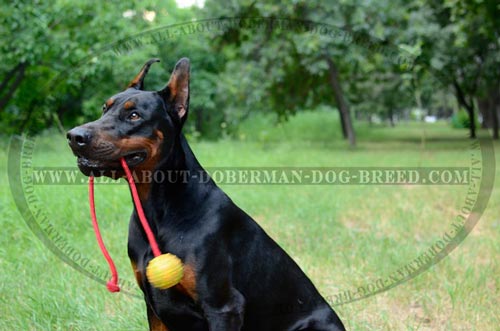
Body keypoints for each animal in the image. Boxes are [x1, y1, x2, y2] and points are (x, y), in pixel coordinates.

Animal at [67, 58, 344, 330]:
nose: (74, 136)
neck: (158, 211)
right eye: (104, 109)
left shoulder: (223, 307)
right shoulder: (153, 308)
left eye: (134, 115)